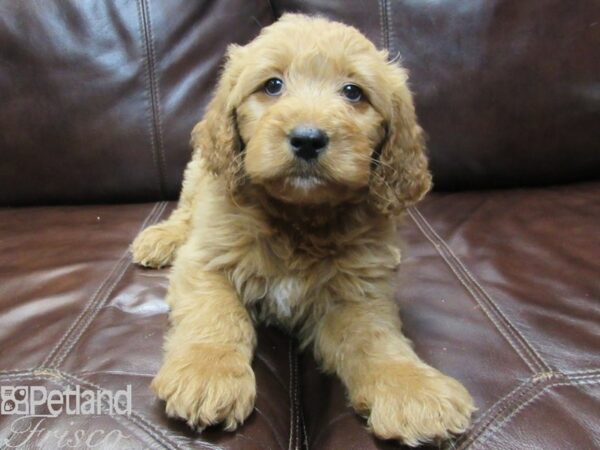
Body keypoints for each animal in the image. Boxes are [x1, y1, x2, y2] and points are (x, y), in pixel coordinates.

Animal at [131, 13, 474, 446]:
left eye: (353, 93)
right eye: (272, 85)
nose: (308, 139)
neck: (299, 217)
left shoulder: (357, 293)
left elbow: (376, 339)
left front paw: (413, 389)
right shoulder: (207, 260)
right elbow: (217, 314)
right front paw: (207, 373)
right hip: (199, 174)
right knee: (186, 211)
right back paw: (160, 238)